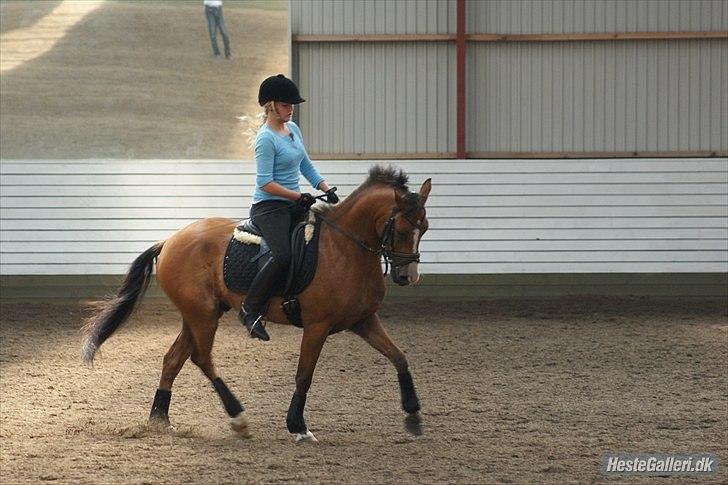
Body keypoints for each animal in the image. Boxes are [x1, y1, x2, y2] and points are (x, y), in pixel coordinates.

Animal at [82, 164, 430, 440]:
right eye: (401, 229)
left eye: (424, 229)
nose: (408, 276)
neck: (345, 249)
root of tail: (169, 240)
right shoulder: (317, 326)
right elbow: (304, 374)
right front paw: (298, 426)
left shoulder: (363, 321)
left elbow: (399, 357)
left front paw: (413, 414)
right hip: (203, 315)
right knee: (201, 359)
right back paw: (237, 417)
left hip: (198, 314)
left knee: (173, 359)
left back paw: (160, 419)